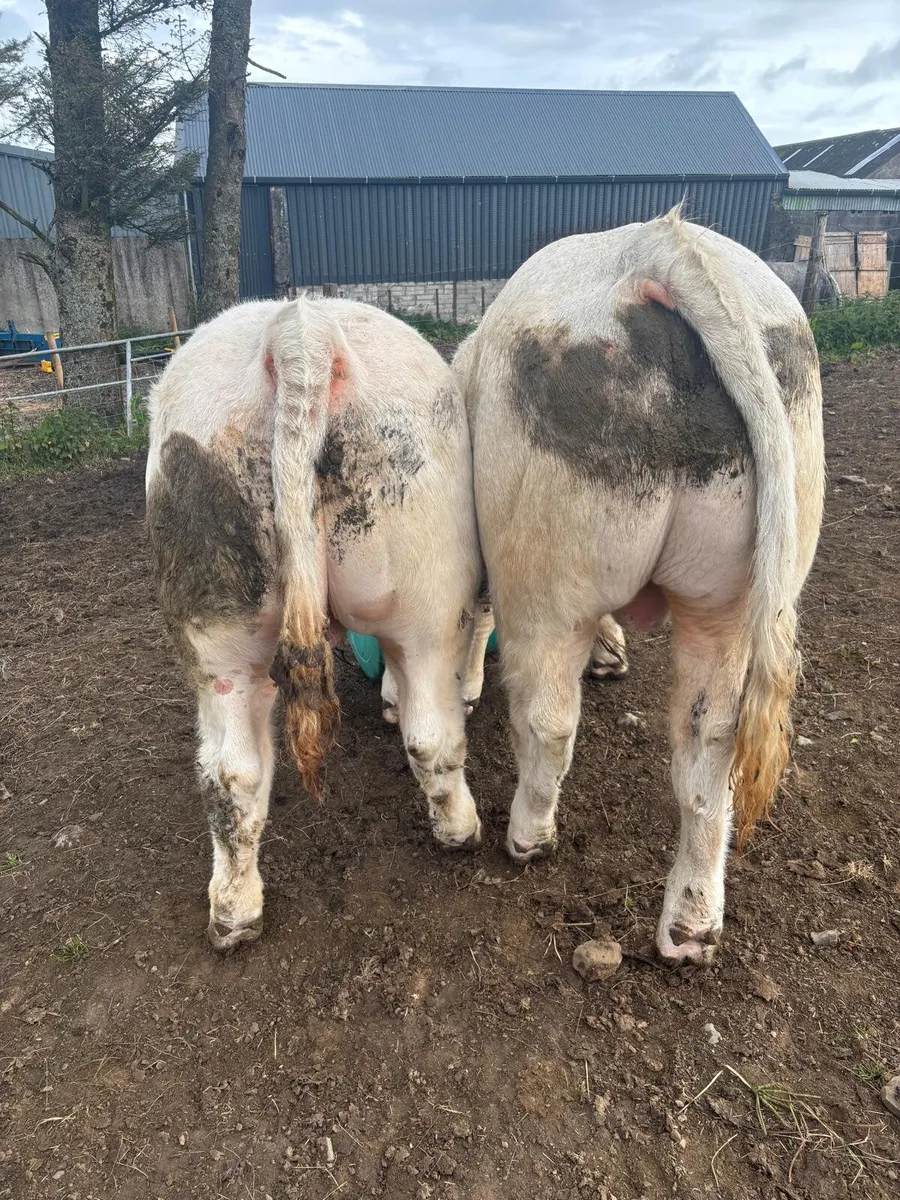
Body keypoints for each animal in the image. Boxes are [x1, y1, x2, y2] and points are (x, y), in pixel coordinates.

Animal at [146, 298, 485, 951]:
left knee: (230, 771)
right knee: (431, 733)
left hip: (217, 619)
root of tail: (299, 329)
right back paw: (461, 828)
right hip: (428, 601)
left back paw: (234, 912)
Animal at [454, 208, 825, 965]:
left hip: (546, 570)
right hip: (735, 595)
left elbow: (477, 611)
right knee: (711, 743)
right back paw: (690, 928)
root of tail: (661, 247)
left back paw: (528, 837)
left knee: (549, 715)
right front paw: (614, 653)